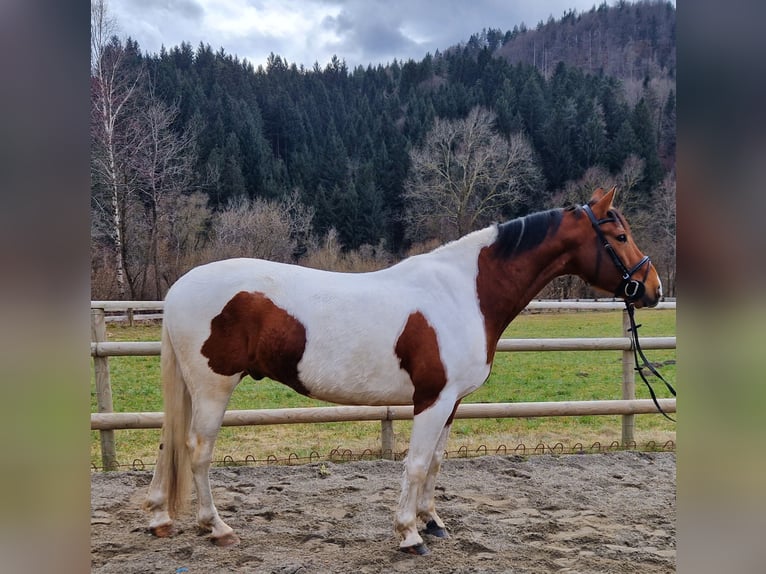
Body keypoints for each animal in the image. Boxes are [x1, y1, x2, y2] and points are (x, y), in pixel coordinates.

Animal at [147, 189, 664, 560]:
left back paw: (158, 518)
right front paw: (408, 534)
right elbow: (414, 464)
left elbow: (434, 463)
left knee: (169, 444)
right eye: (619, 237)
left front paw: (431, 522)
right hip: (214, 386)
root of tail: (180, 288)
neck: (465, 293)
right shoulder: (432, 399)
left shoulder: (451, 402)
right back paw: (217, 527)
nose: (653, 289)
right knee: (197, 450)